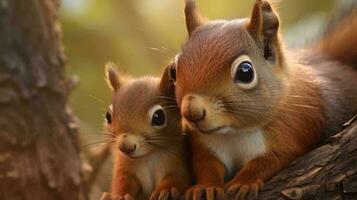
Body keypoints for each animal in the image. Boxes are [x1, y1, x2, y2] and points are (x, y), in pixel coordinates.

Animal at [103, 63, 189, 200]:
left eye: (158, 117)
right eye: (108, 116)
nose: (125, 147)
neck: (147, 157)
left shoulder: (178, 164)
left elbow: (177, 179)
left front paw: (165, 191)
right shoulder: (124, 169)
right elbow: (122, 182)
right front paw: (120, 196)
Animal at [167, 0, 356, 200]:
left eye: (245, 72)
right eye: (173, 71)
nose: (191, 112)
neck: (235, 133)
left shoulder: (292, 130)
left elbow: (269, 161)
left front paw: (243, 183)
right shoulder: (206, 145)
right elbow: (206, 164)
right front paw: (206, 186)